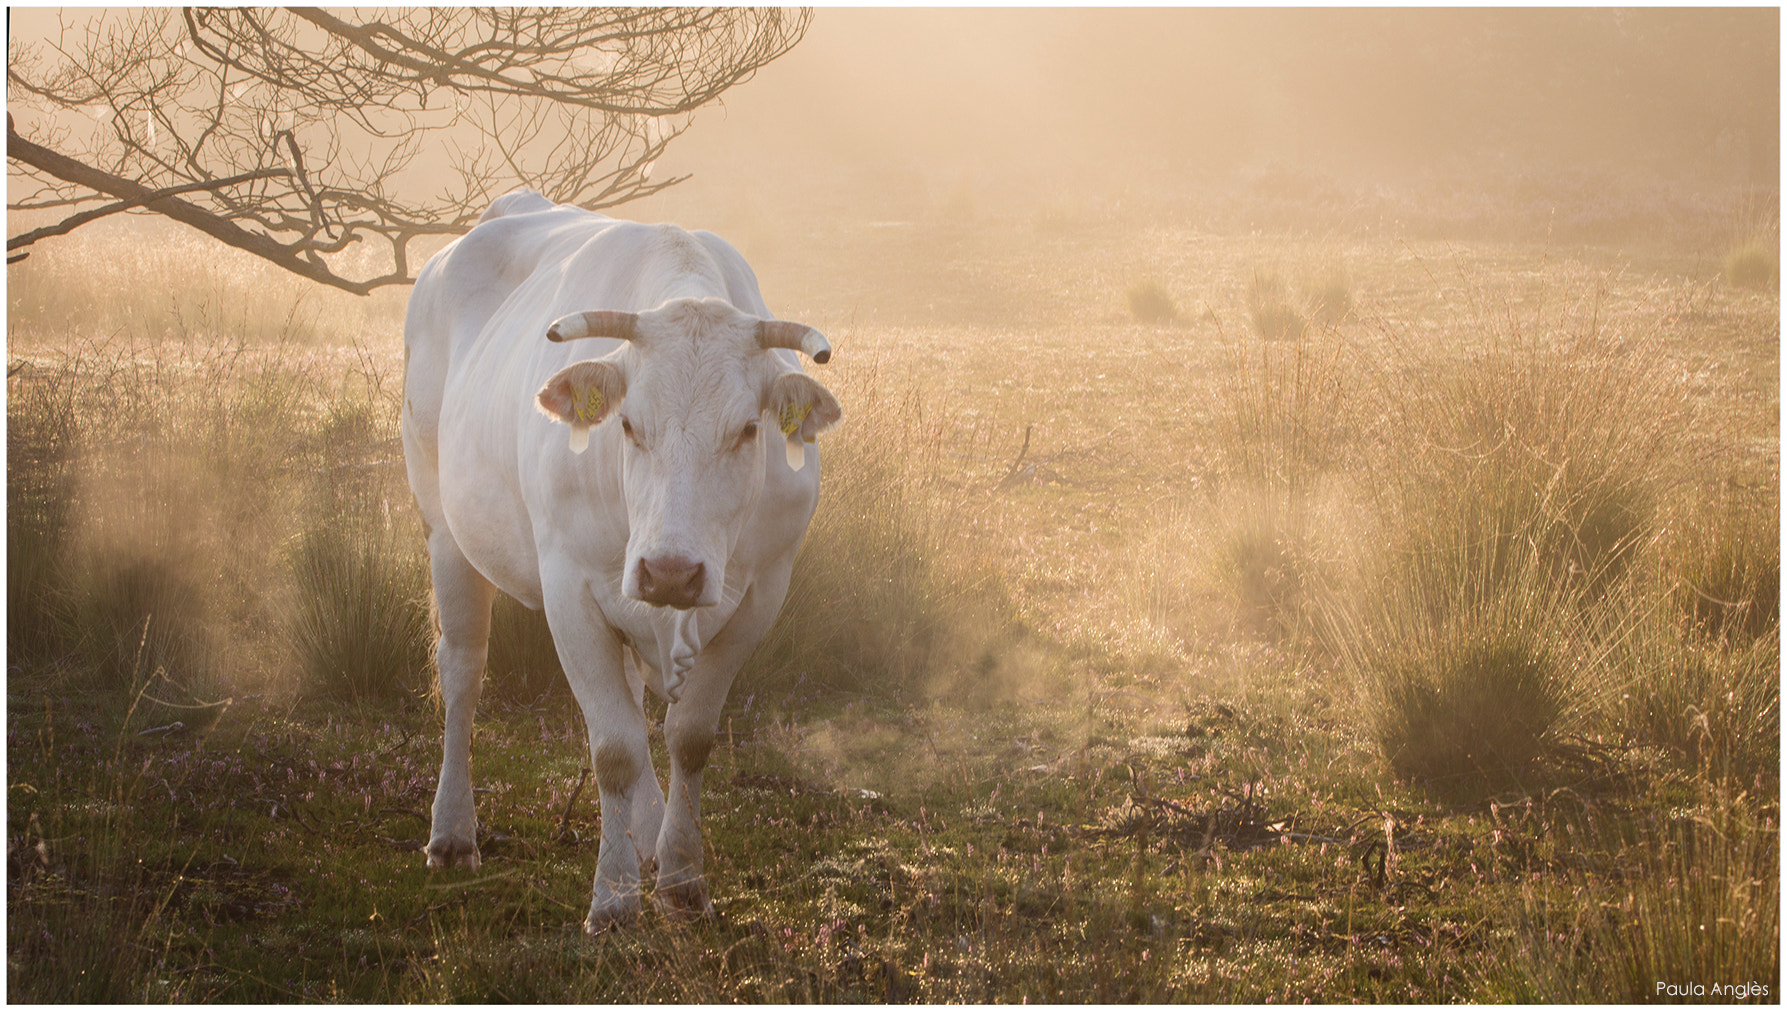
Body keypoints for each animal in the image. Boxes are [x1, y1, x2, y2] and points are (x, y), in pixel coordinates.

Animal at [405, 186, 843, 929]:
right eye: (629, 425)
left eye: (747, 430)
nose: (671, 571)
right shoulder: (570, 590)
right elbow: (612, 748)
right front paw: (612, 899)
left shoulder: (761, 594)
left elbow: (687, 736)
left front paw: (681, 878)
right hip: (445, 528)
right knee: (462, 671)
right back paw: (453, 832)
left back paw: (646, 836)